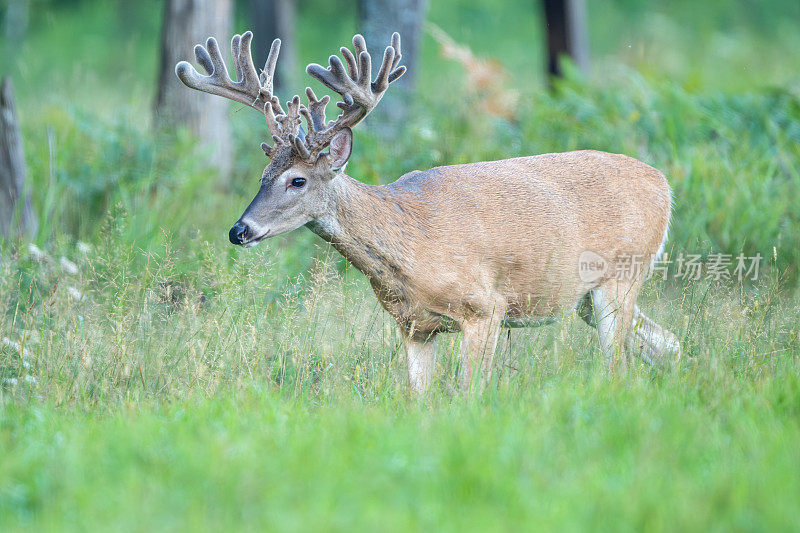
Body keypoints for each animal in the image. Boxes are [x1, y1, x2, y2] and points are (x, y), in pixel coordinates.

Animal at [177, 31, 680, 392]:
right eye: (263, 175)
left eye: (297, 180)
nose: (239, 231)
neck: (410, 251)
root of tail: (663, 184)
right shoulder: (413, 326)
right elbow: (418, 401)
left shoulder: (486, 308)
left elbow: (469, 395)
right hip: (587, 300)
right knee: (667, 343)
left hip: (620, 275)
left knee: (618, 365)